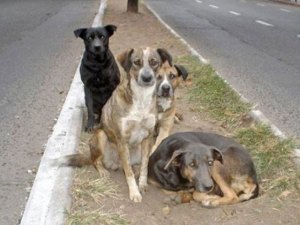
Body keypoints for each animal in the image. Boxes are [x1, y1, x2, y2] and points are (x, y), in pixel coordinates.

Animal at [63, 47, 171, 202]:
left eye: (154, 62)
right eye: (136, 62)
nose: (147, 78)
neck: (141, 98)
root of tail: (115, 164)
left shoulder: (148, 138)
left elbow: (144, 166)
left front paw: (142, 184)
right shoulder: (122, 139)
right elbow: (129, 174)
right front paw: (134, 192)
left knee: (133, 166)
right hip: (101, 136)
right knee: (96, 161)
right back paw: (103, 170)